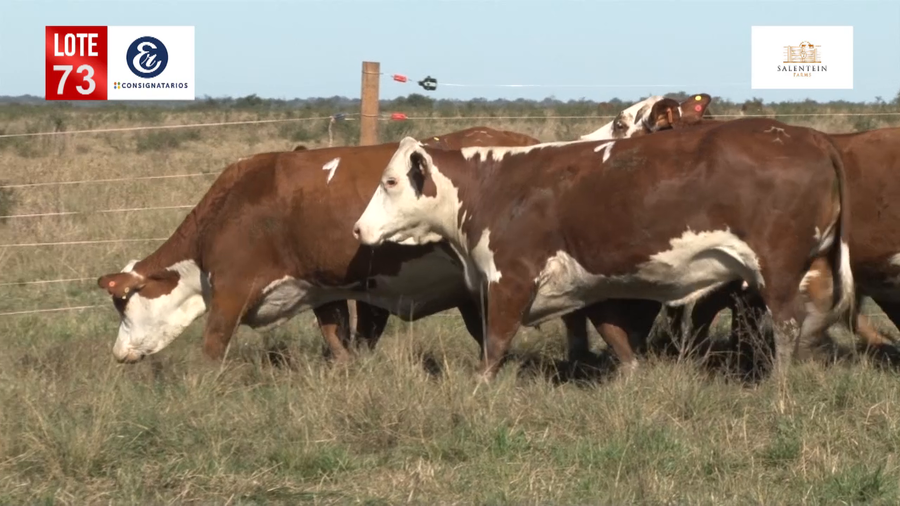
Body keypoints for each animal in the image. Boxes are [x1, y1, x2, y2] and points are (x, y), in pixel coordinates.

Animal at [95, 127, 543, 364]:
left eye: (123, 304)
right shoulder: (321, 287)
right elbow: (339, 338)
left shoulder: (230, 289)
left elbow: (213, 346)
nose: (116, 352)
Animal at [352, 118, 855, 381]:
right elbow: (613, 332)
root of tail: (809, 135)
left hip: (778, 267)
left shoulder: (510, 278)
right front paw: (633, 376)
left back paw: (778, 383)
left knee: (787, 325)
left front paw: (479, 385)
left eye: (390, 181)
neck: (497, 187)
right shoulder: (586, 283)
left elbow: (495, 342)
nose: (358, 229)